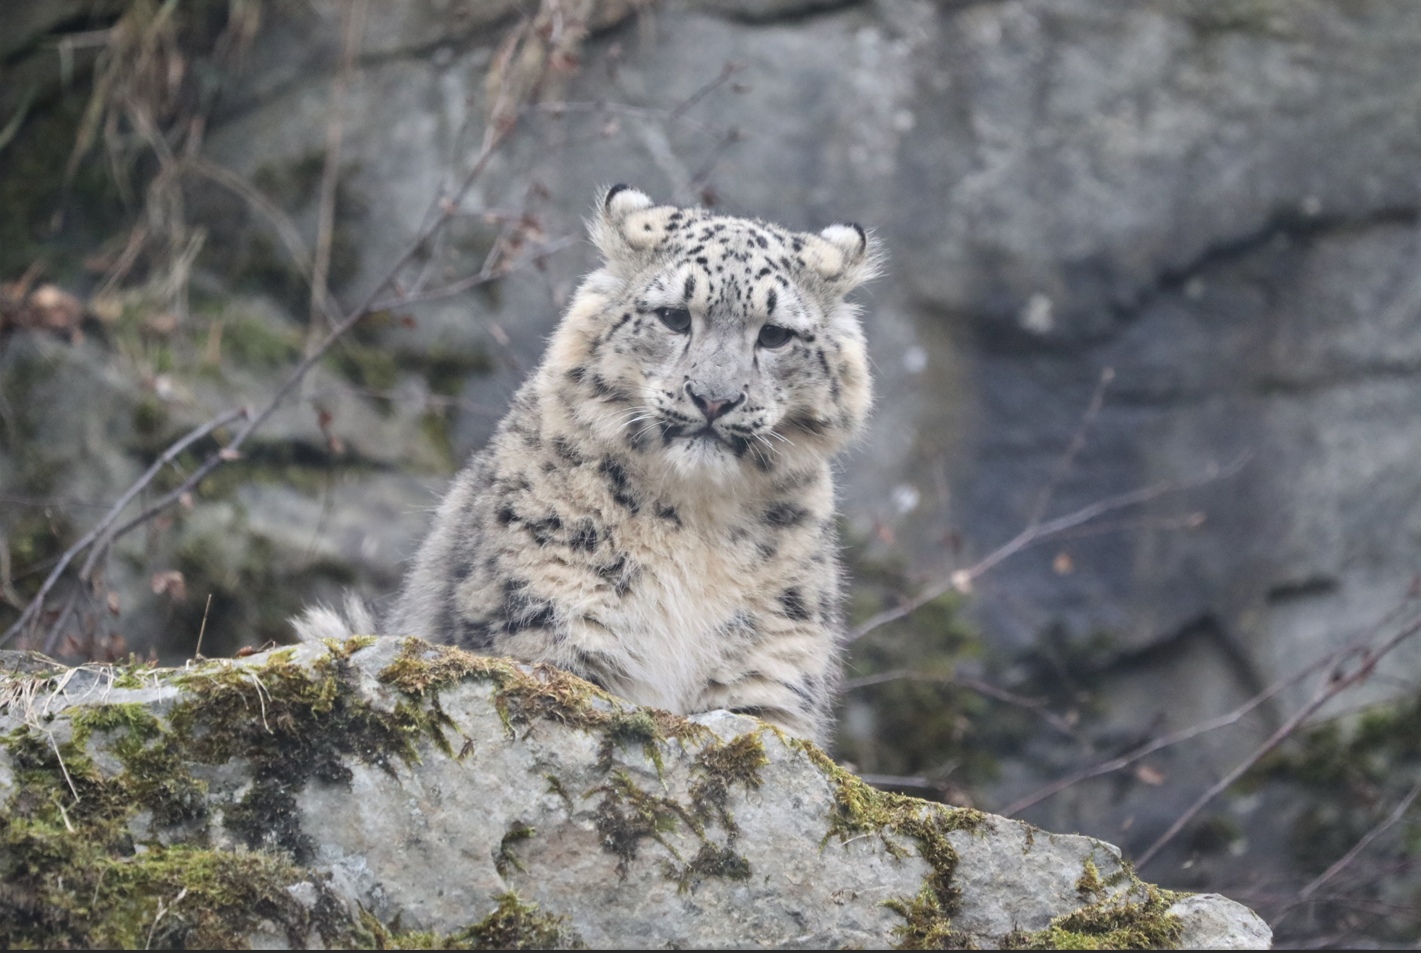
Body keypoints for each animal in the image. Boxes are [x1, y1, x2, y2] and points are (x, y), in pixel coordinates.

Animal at [296, 185, 878, 743]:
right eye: (674, 316)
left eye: (775, 333)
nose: (714, 398)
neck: (697, 525)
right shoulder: (551, 625)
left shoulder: (771, 670)